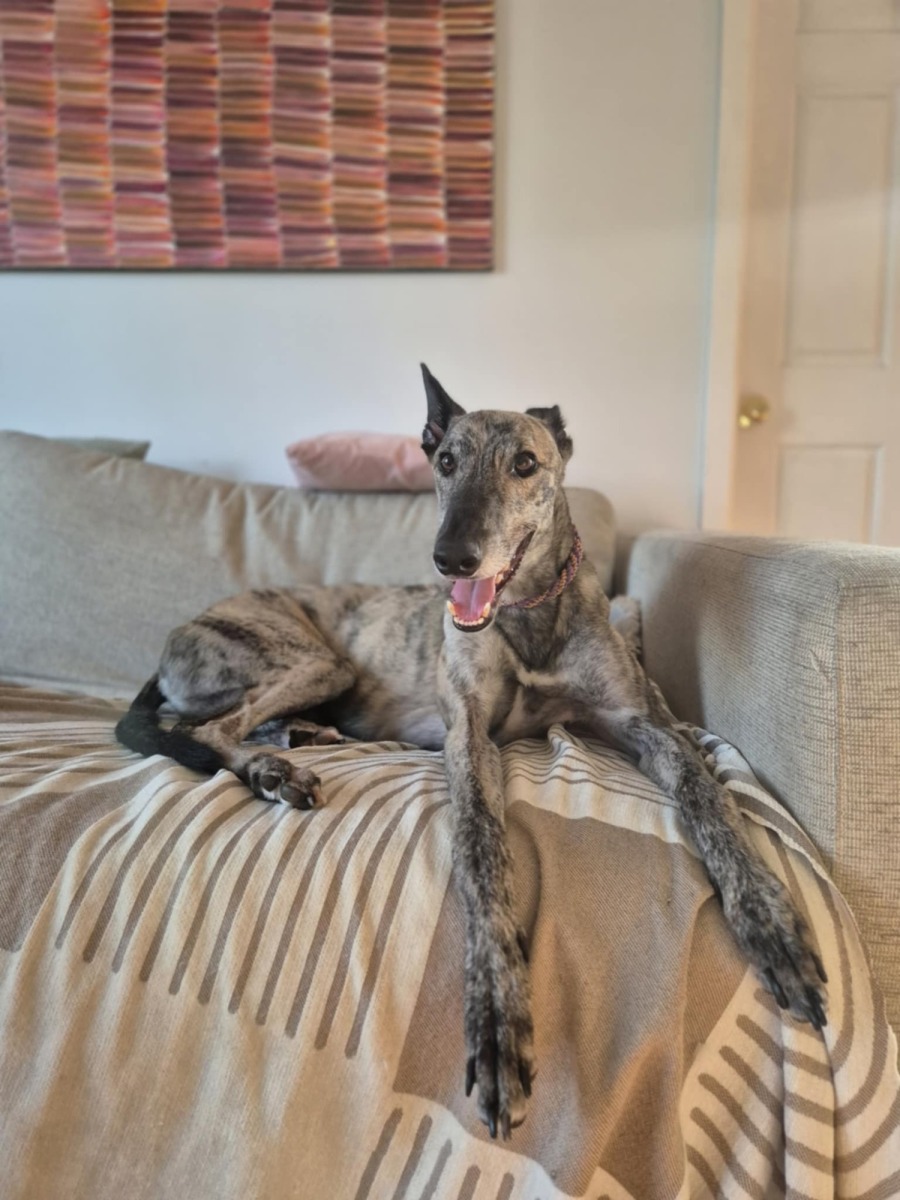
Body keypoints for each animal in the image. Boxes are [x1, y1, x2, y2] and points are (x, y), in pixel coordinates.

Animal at [117, 364, 827, 1139]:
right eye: (446, 460)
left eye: (525, 464)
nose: (450, 558)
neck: (528, 613)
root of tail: (177, 637)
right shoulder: (470, 739)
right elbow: (483, 854)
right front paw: (495, 1020)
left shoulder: (636, 722)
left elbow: (704, 793)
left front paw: (770, 923)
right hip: (311, 658)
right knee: (207, 731)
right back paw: (275, 769)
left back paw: (301, 739)